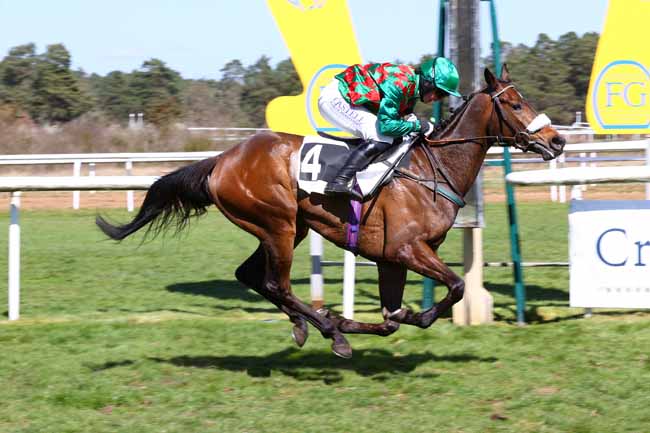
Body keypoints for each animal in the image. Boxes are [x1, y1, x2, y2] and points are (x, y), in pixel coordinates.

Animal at [97, 65, 565, 358]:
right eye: (517, 104)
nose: (557, 141)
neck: (433, 168)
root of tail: (222, 159)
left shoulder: (391, 258)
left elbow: (393, 318)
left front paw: (363, 318)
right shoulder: (407, 250)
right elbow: (456, 287)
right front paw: (404, 316)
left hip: (285, 228)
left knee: (251, 277)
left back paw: (310, 325)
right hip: (278, 225)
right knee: (277, 284)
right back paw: (330, 332)